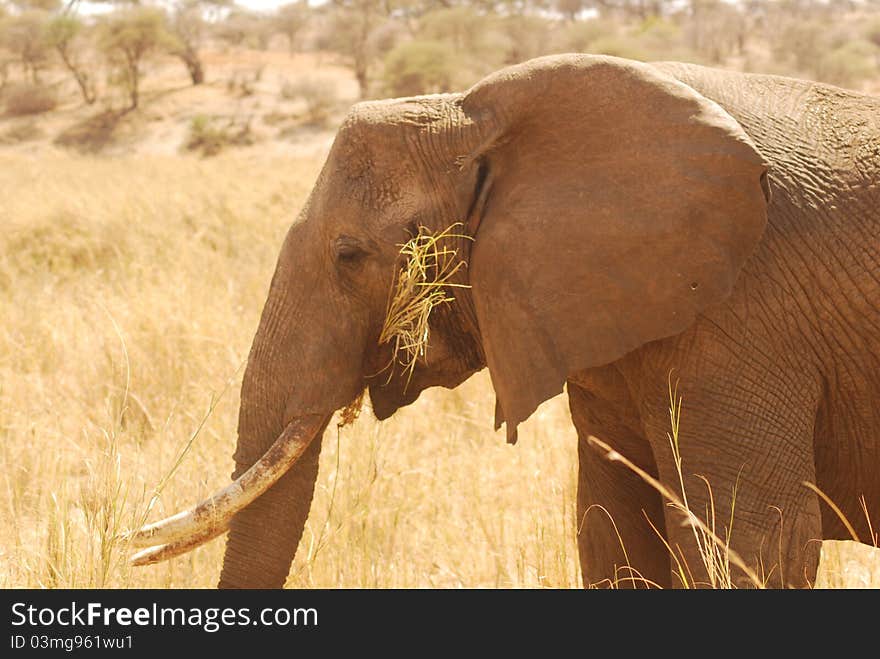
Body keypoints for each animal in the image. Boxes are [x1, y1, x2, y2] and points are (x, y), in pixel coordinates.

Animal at [127, 54, 876, 592]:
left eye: (349, 256)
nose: (126, 540)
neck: (472, 114)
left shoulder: (748, 317)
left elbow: (751, 543)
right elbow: (614, 531)